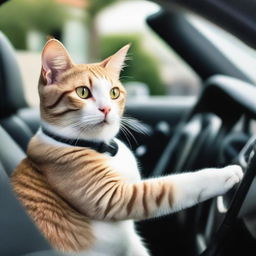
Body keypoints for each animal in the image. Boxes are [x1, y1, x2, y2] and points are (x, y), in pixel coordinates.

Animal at [11, 39, 244, 255]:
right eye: (83, 92)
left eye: (114, 93)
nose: (106, 109)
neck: (103, 147)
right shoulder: (114, 197)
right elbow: (172, 186)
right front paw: (224, 173)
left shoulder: (132, 238)